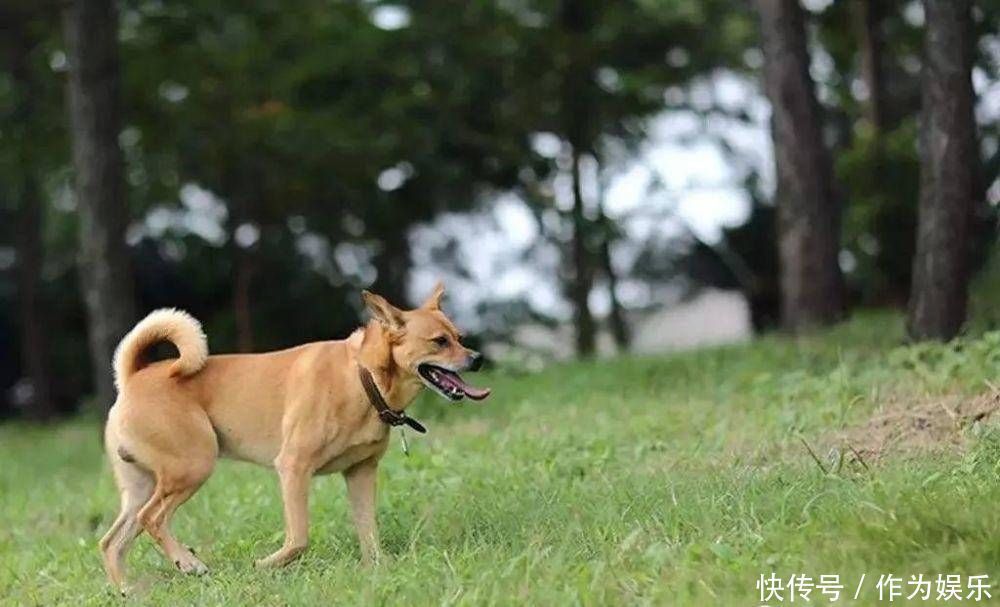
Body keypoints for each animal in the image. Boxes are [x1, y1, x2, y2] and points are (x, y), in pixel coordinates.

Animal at [99, 284, 490, 588]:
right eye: (439, 342)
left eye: (459, 338)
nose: (478, 359)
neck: (362, 376)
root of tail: (132, 378)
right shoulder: (293, 468)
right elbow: (299, 539)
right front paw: (263, 566)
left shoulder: (361, 473)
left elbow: (369, 532)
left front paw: (377, 570)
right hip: (192, 467)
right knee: (152, 518)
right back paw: (188, 563)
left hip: (143, 486)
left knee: (111, 541)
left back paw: (128, 592)